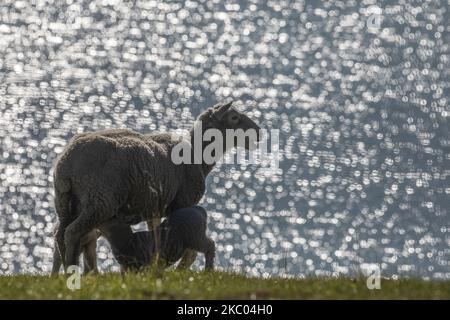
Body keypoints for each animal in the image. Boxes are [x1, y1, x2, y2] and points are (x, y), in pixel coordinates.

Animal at [51, 101, 260, 272]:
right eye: (234, 117)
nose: (258, 132)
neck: (197, 155)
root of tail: (68, 161)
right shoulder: (182, 204)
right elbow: (187, 249)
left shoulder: (154, 207)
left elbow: (157, 238)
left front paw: (155, 266)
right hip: (101, 200)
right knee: (72, 232)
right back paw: (71, 269)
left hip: (65, 202)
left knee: (59, 234)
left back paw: (61, 273)